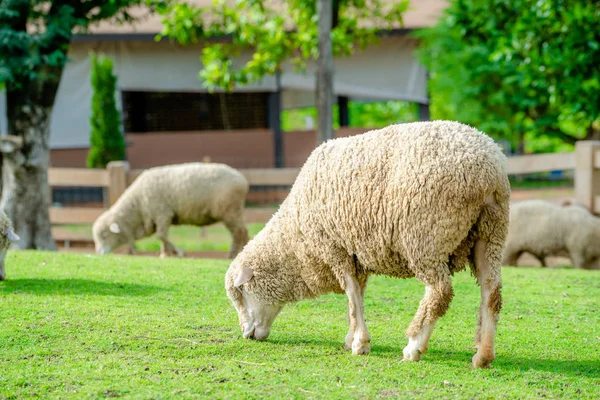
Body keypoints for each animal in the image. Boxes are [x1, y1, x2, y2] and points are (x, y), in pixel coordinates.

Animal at [93, 162, 251, 260]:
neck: (138, 204)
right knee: (243, 231)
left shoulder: (163, 213)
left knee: (238, 232)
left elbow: (161, 235)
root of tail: (242, 180)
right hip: (233, 211)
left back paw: (231, 255)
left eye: (104, 235)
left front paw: (178, 252)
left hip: (230, 210)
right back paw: (244, 250)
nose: (99, 253)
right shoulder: (159, 217)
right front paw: (165, 254)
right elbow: (162, 237)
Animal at [225, 120, 510, 368]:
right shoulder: (356, 254)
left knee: (440, 292)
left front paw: (360, 344)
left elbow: (351, 294)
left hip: (426, 237)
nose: (246, 334)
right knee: (491, 292)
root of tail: (489, 168)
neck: (295, 239)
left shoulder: (335, 248)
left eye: (239, 295)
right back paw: (483, 355)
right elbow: (357, 298)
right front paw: (352, 337)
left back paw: (413, 347)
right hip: (490, 234)